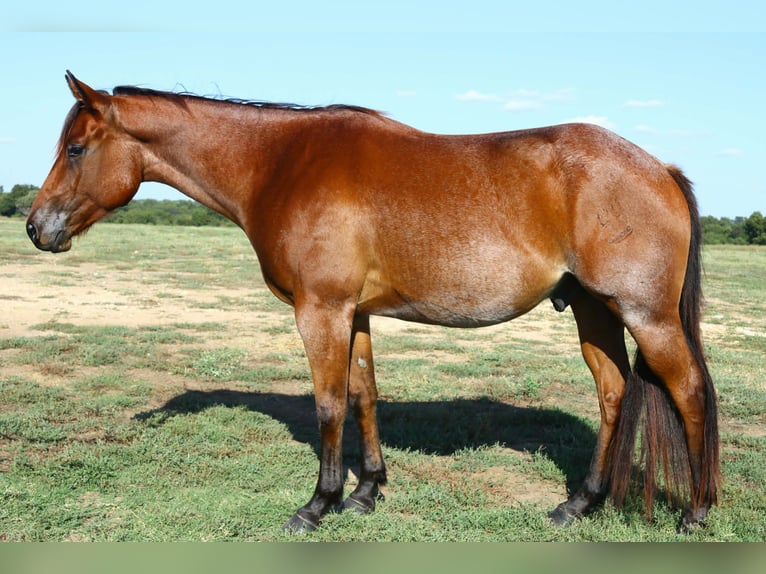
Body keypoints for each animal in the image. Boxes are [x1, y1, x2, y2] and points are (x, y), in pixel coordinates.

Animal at [27, 71, 720, 534]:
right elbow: (364, 394)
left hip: (646, 316)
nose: (37, 228)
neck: (280, 165)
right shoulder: (353, 313)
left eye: (76, 148)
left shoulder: (321, 310)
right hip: (592, 309)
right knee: (614, 392)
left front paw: (318, 504)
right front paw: (367, 492)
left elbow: (330, 403)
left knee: (687, 391)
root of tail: (658, 166)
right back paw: (579, 503)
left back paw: (695, 511)